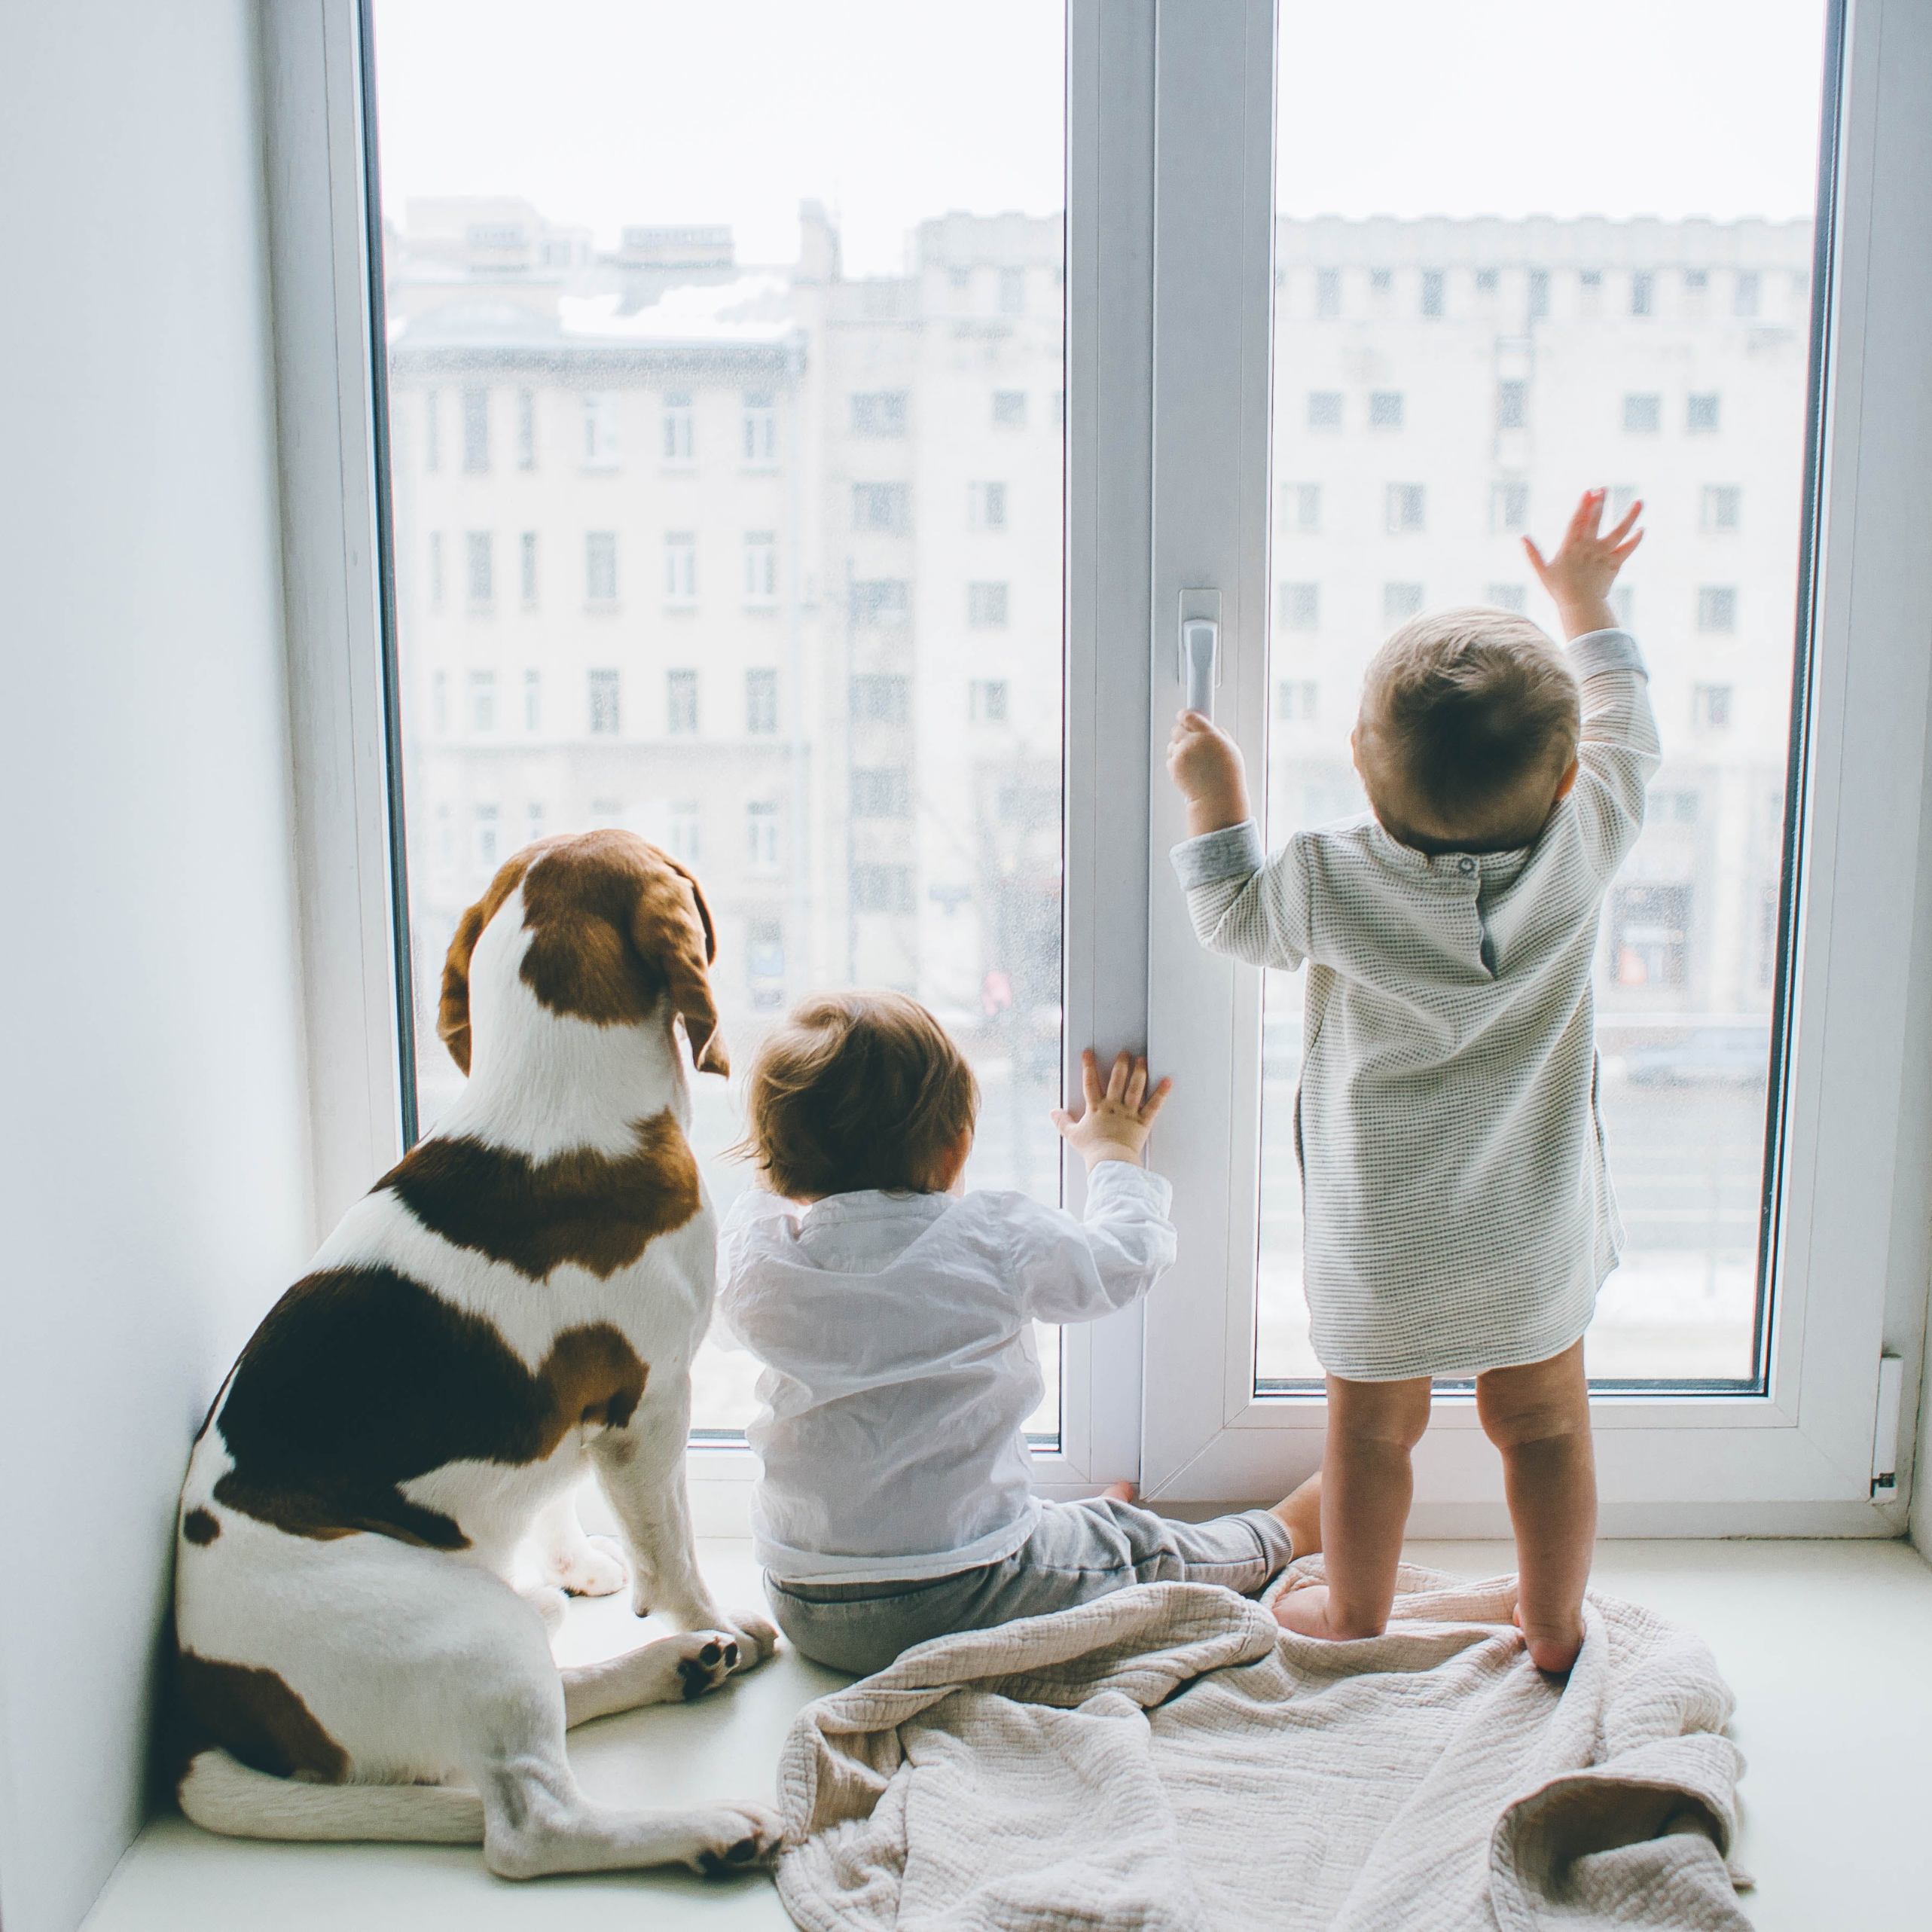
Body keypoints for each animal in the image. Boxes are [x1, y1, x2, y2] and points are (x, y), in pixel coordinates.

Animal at [172, 838, 784, 1878]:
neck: (549, 1099)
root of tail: (202, 1709)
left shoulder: (573, 1425)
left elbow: (553, 1493)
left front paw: (584, 1565)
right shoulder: (654, 1406)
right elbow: (673, 1548)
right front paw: (714, 1619)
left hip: (501, 1633)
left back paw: (672, 1668)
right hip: (473, 1633)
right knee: (531, 1826)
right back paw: (706, 1812)